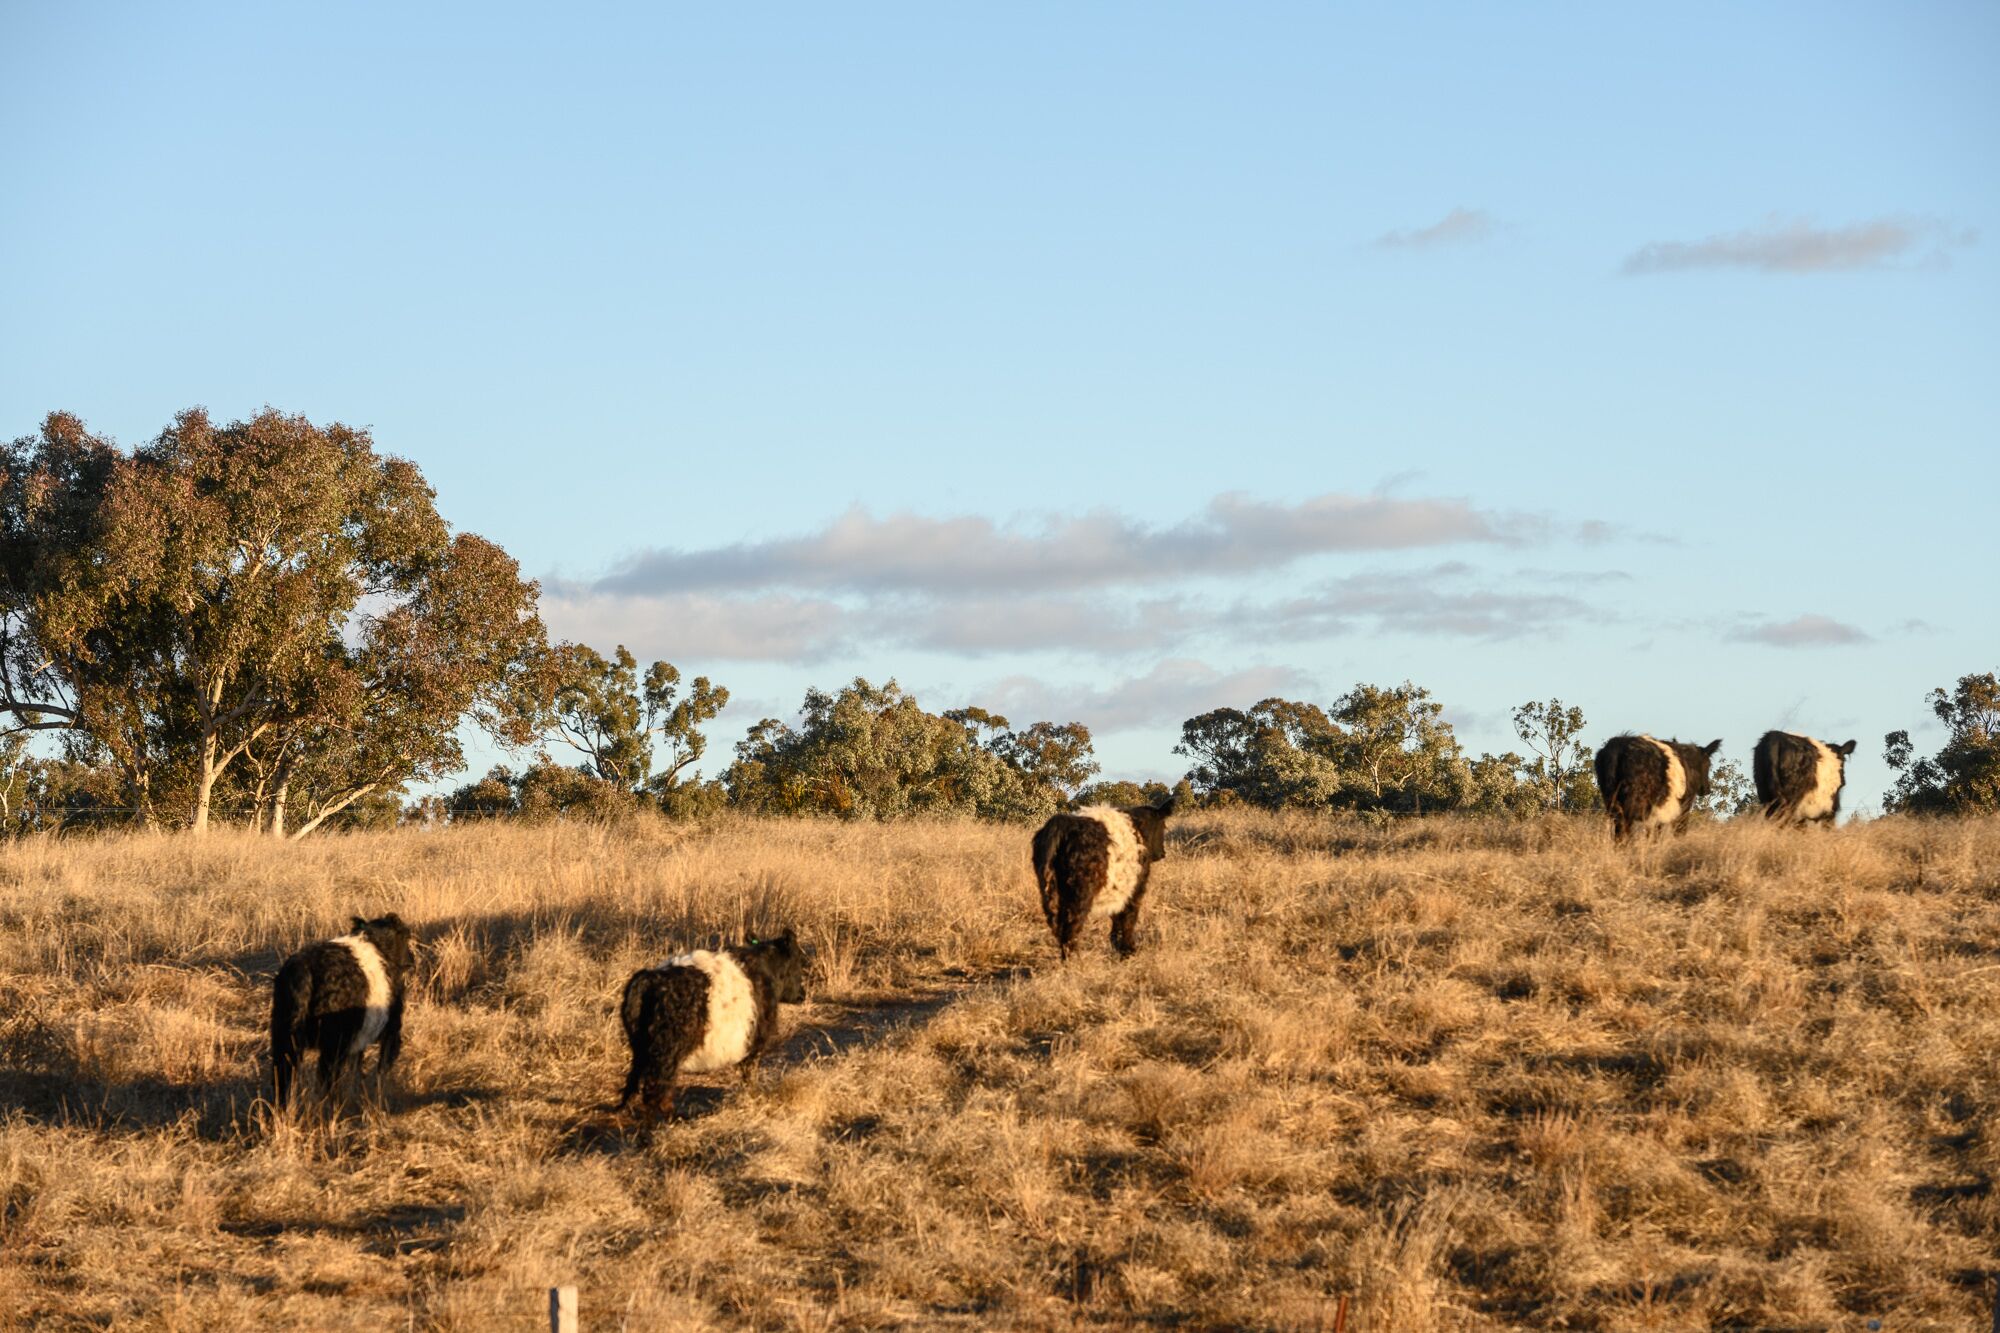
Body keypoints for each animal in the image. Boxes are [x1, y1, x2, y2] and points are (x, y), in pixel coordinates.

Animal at [272, 908, 416, 1104]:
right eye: (406, 937)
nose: (412, 959)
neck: (377, 944)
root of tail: (303, 972)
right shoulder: (391, 1030)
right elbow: (381, 1071)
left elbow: (357, 1070)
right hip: (333, 1044)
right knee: (327, 1079)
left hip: (284, 1039)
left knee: (283, 1078)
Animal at [616, 924, 804, 1120]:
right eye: (799, 962)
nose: (802, 994)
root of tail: (648, 979)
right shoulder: (755, 1043)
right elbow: (749, 1074)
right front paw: (752, 1096)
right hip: (665, 1052)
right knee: (656, 1088)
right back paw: (673, 1117)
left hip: (640, 1047)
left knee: (634, 1079)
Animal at [1032, 792, 1168, 960]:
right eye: (1163, 826)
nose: (1163, 853)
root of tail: (1063, 822)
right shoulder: (1136, 888)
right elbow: (1128, 918)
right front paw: (1128, 951)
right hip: (1080, 893)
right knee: (1071, 924)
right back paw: (1074, 960)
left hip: (1052, 889)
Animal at [1592, 732, 1720, 836]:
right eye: (1708, 764)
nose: (1706, 789)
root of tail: (1617, 748)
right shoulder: (1683, 805)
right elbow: (1678, 830)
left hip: (1612, 800)